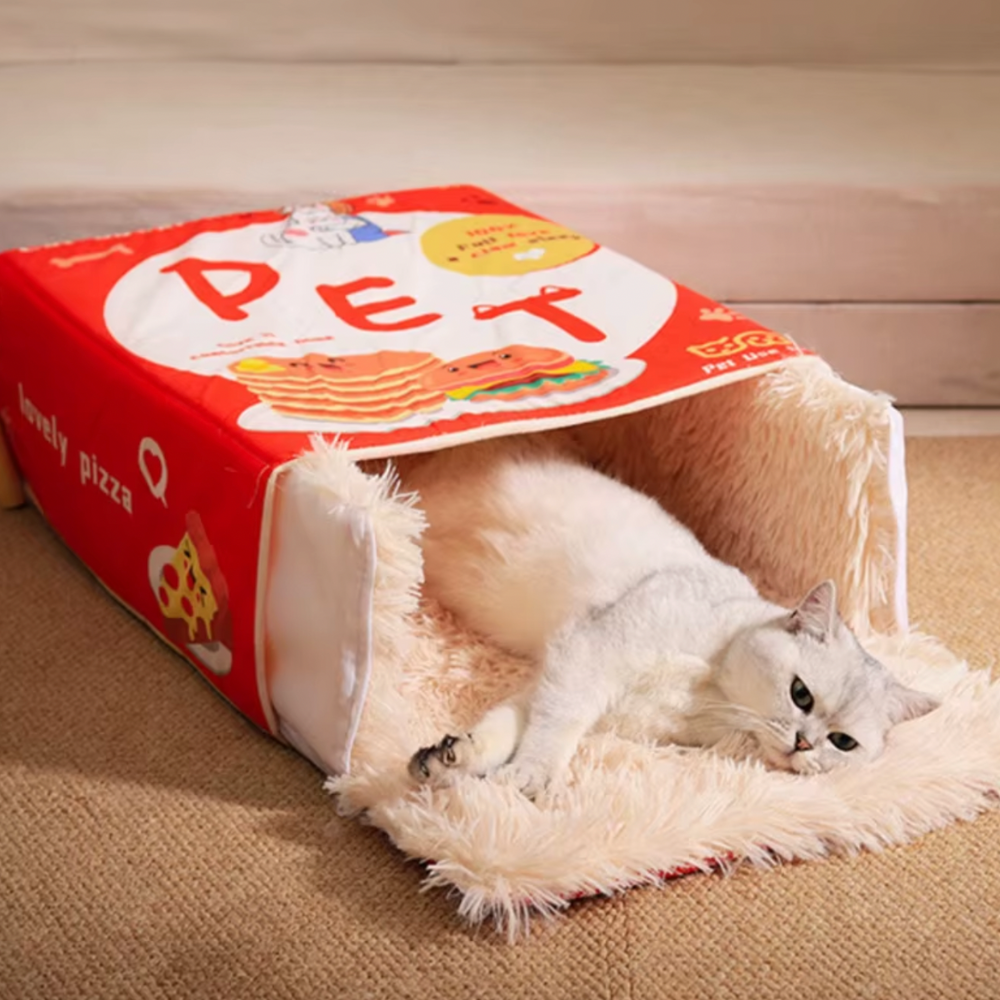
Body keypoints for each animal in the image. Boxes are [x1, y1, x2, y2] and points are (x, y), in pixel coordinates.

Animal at [400, 438, 936, 796]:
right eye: (800, 694)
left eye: (843, 743)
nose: (805, 745)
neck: (708, 698)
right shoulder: (589, 653)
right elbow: (556, 725)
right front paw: (531, 775)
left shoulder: (560, 678)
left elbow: (512, 721)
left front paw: (453, 760)